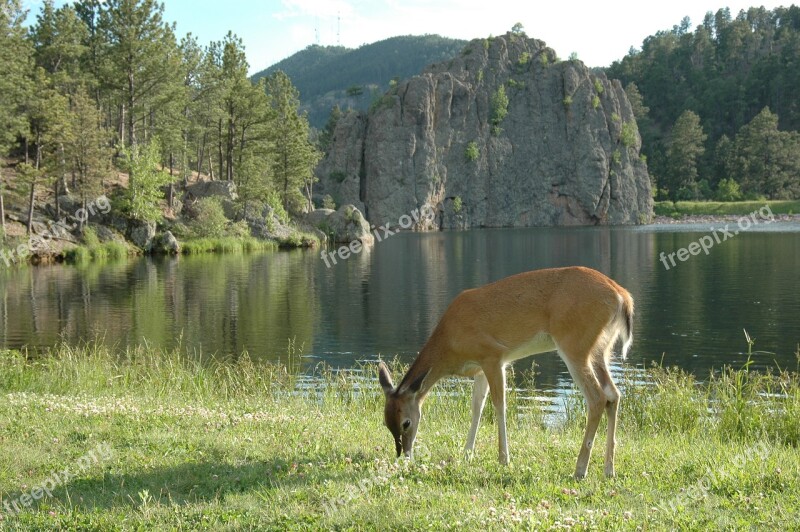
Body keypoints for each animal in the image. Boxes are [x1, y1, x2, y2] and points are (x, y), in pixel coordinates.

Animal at [378, 266, 636, 478]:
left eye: (406, 423)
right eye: (385, 422)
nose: (404, 455)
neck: (449, 344)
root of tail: (622, 296)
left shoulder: (494, 357)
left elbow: (499, 405)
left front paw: (504, 459)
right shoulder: (480, 368)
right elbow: (477, 407)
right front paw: (467, 453)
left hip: (574, 345)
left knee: (597, 398)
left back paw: (580, 470)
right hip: (601, 349)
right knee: (613, 395)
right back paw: (609, 470)